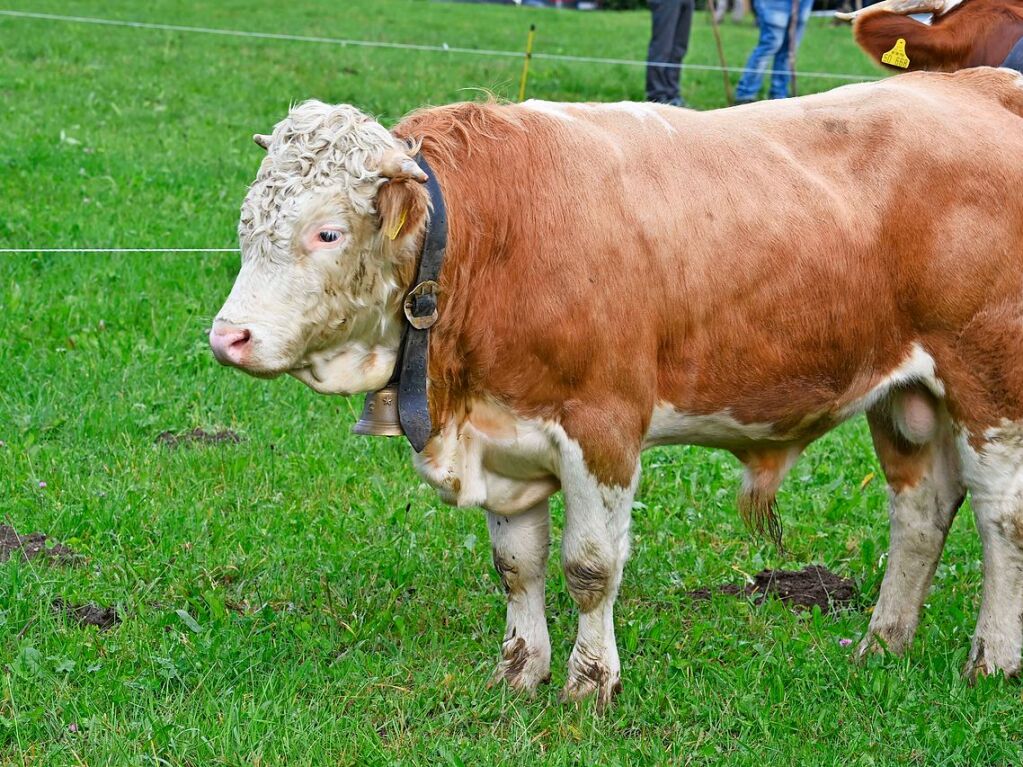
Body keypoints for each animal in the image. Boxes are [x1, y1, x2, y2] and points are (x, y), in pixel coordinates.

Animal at [207, 69, 1023, 711]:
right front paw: (519, 670)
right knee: (919, 513)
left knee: (999, 519)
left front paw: (590, 681)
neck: (493, 237)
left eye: (328, 232)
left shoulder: (600, 426)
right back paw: (882, 643)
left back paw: (991, 658)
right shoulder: (507, 434)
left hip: (989, 383)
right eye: (246, 223)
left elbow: (590, 568)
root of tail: (971, 83)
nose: (228, 337)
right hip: (907, 396)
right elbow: (517, 565)